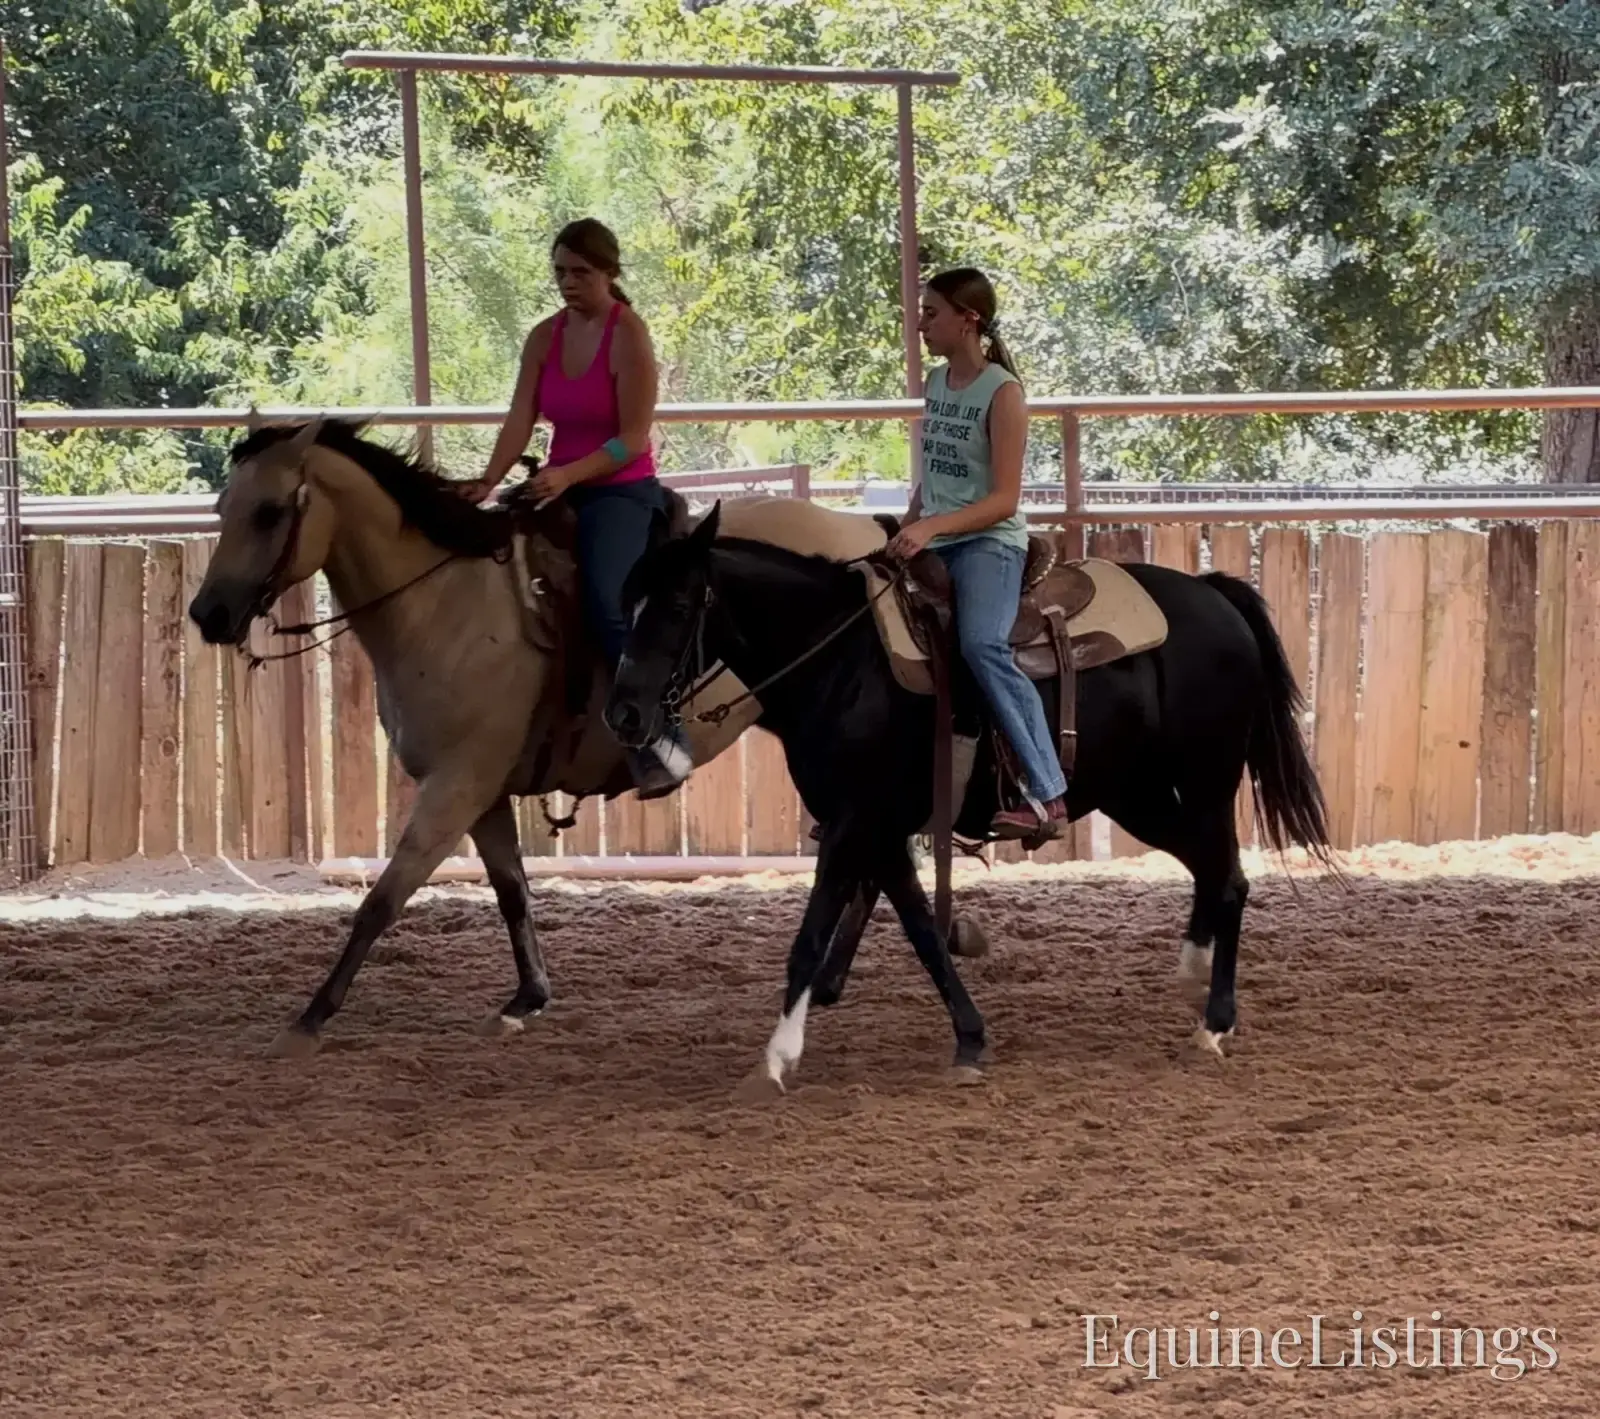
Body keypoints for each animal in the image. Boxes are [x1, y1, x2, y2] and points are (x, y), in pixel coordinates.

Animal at [186, 416, 759, 1056]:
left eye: (268, 512)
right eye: (222, 507)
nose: (208, 613)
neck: (441, 606)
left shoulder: (454, 788)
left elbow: (381, 901)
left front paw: (310, 1017)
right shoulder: (484, 794)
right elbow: (511, 891)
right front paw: (527, 998)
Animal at [604, 499, 1338, 1092]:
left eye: (677, 606)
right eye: (626, 604)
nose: (624, 714)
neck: (841, 661)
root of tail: (1216, 596)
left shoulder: (853, 823)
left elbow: (811, 938)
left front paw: (777, 1057)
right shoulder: (878, 829)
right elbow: (923, 930)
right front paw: (969, 1036)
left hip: (1207, 781)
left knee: (1229, 877)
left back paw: (1214, 1021)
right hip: (1138, 794)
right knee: (1208, 870)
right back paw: (1193, 967)